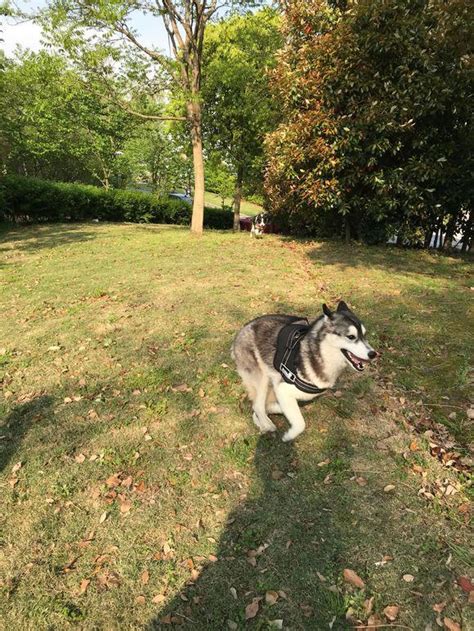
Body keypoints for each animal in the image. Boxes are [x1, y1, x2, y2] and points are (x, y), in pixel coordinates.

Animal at [232, 302, 378, 442]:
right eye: (351, 336)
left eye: (364, 335)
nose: (373, 354)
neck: (320, 353)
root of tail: (243, 330)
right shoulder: (283, 388)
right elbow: (300, 424)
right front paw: (288, 436)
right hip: (262, 380)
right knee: (257, 406)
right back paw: (268, 424)